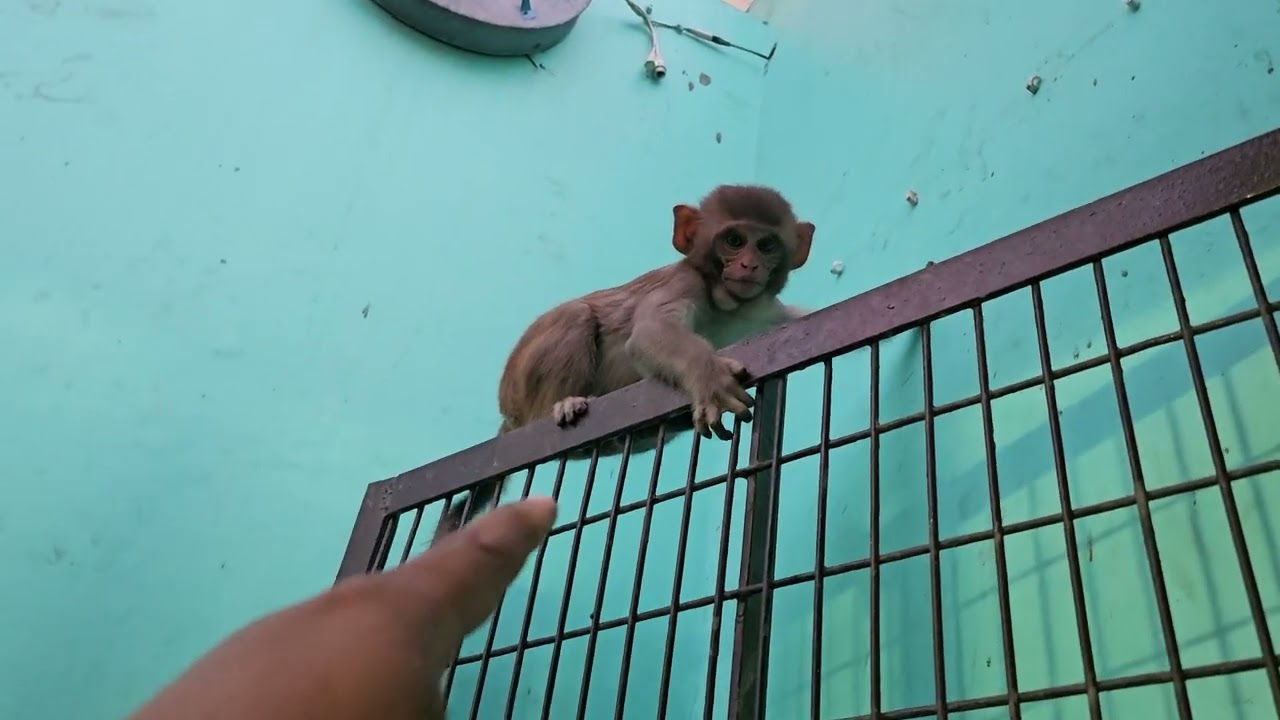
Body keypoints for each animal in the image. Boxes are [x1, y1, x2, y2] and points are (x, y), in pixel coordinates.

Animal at [433, 185, 815, 542]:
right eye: (734, 240)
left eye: (766, 245)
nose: (749, 264)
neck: (733, 307)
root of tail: (509, 416)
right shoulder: (686, 280)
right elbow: (649, 333)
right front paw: (709, 377)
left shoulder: (768, 314)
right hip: (520, 391)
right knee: (575, 315)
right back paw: (561, 406)